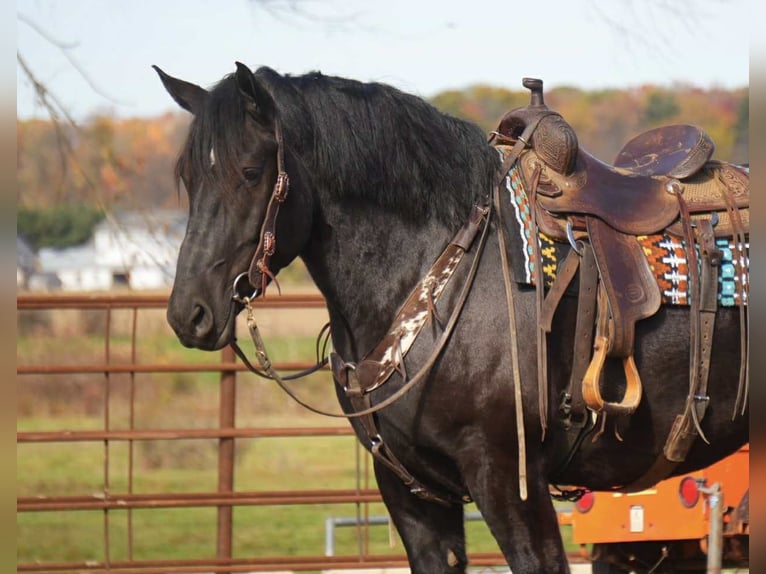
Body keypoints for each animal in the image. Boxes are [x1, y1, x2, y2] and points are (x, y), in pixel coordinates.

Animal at [154, 62, 749, 574]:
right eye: (187, 176)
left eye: (251, 172)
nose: (190, 313)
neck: (440, 269)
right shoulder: (413, 493)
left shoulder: (508, 480)